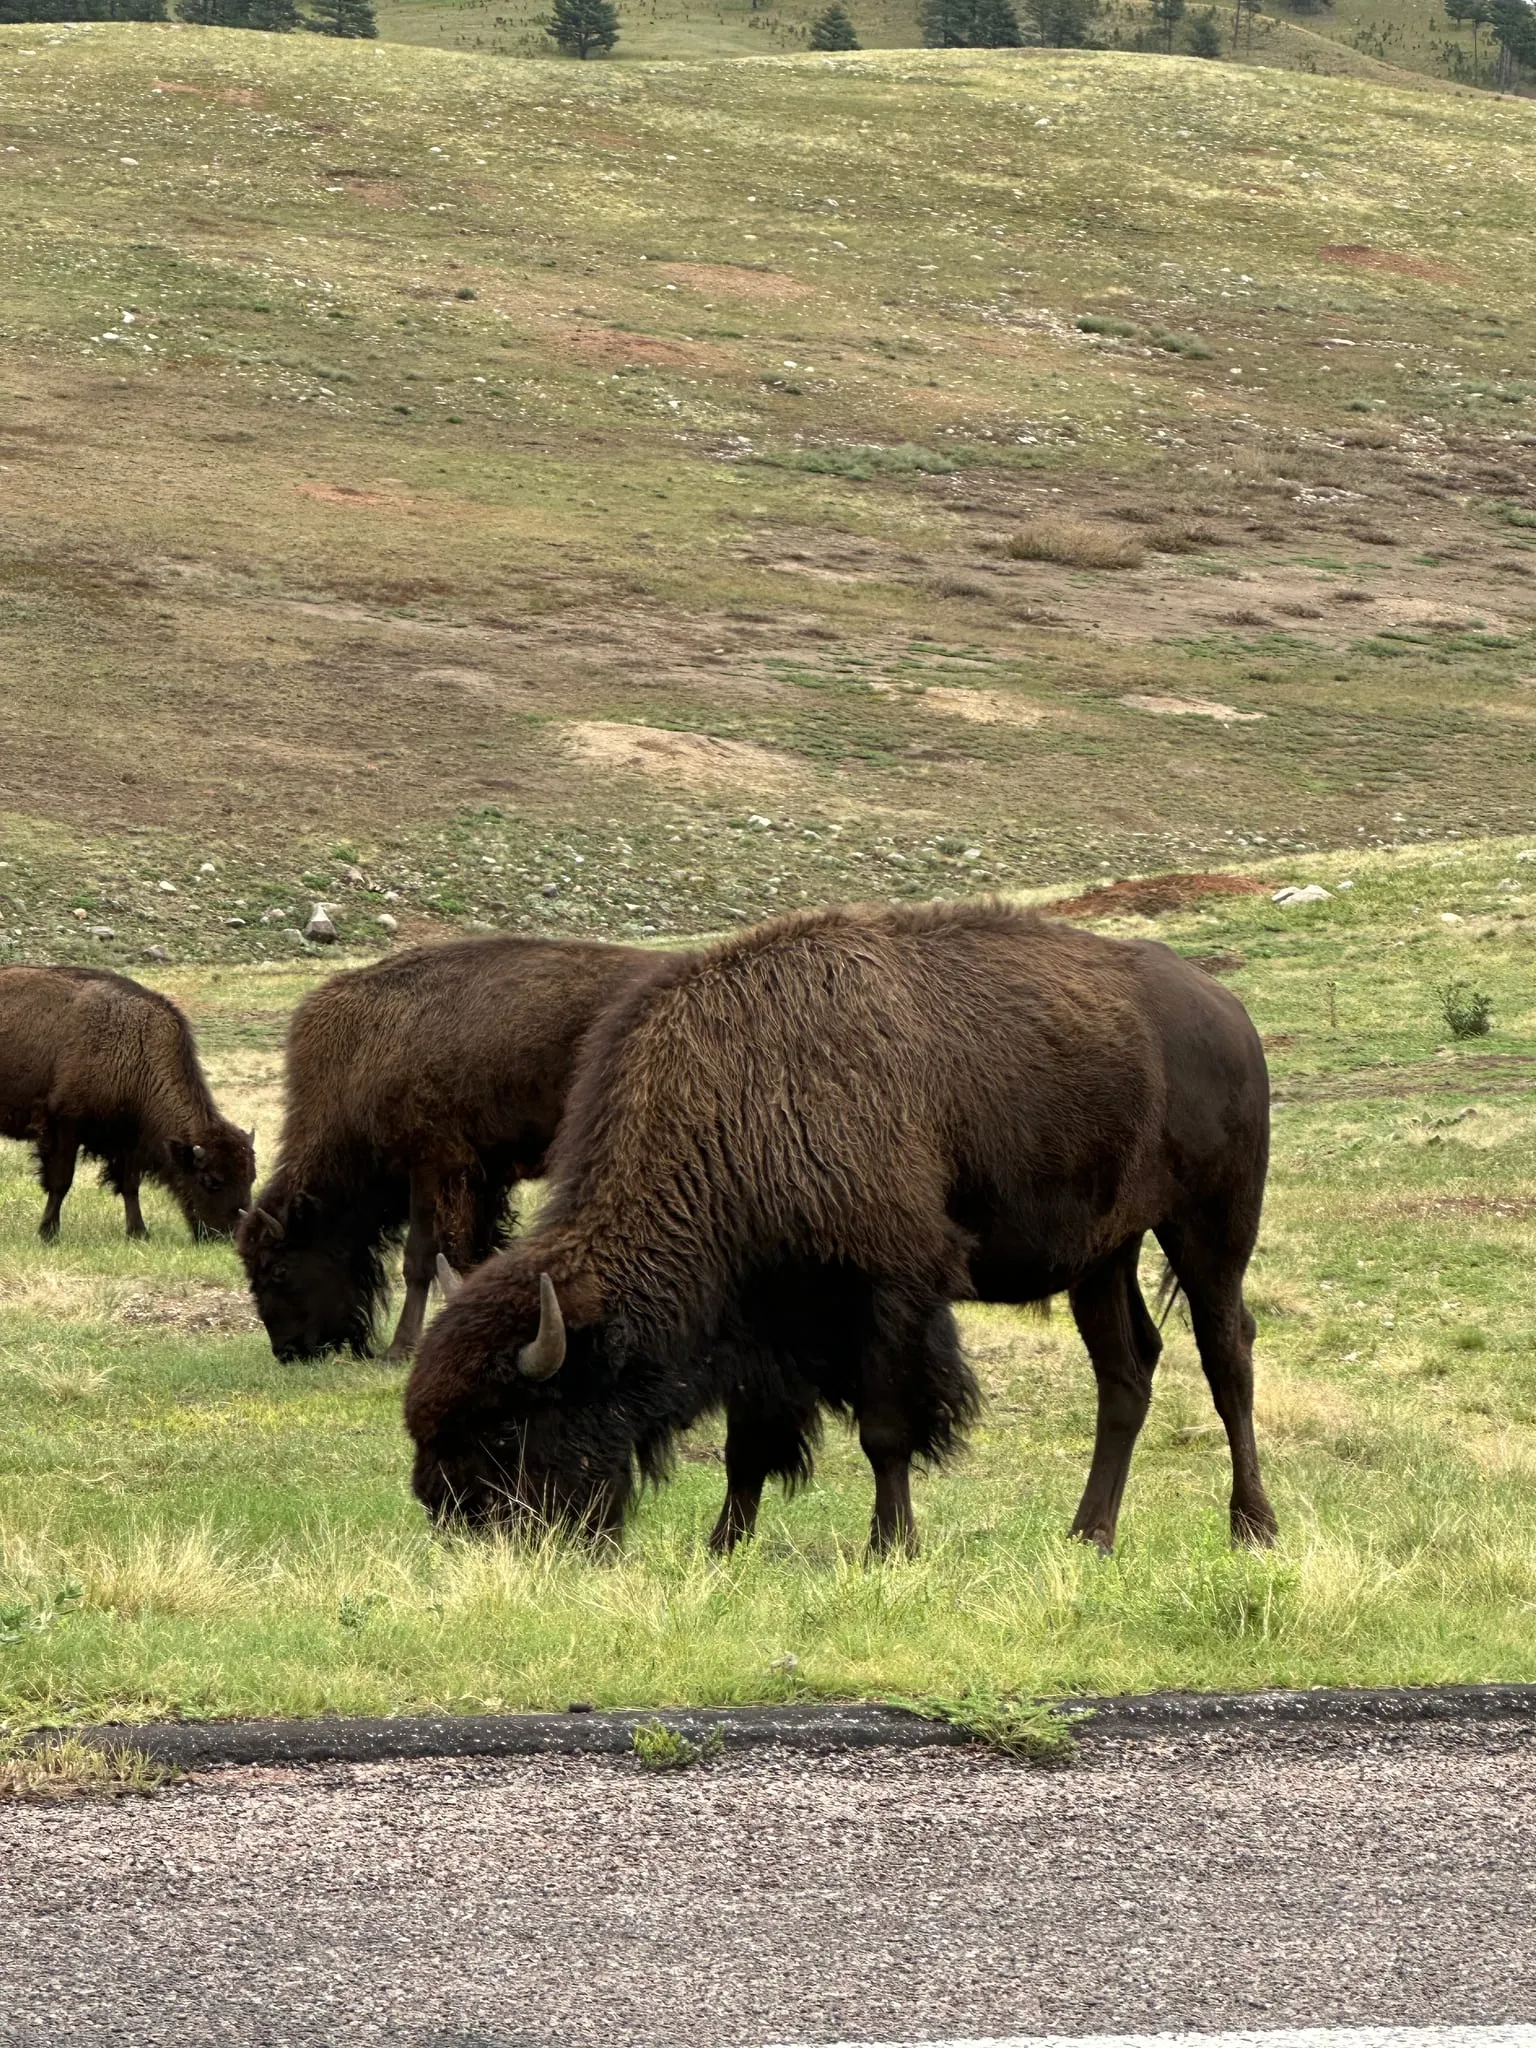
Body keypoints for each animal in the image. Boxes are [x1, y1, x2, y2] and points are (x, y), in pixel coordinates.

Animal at [0, 965, 255, 1241]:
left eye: (252, 1178)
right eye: (211, 1181)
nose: (229, 1236)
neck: (137, 1047)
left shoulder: (129, 1140)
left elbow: (130, 1186)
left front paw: (139, 1232)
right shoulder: (65, 1127)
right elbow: (61, 1181)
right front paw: (48, 1233)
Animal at [238, 935, 672, 1363]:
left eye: (277, 1269)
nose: (288, 1351)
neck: (358, 1062)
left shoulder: (432, 1166)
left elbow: (420, 1259)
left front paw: (400, 1349)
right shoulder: (482, 1178)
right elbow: (476, 1254)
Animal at [406, 901, 1277, 1557]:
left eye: (508, 1426)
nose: (452, 1518)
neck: (737, 1107)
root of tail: (1230, 1013)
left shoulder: (890, 1293)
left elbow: (884, 1431)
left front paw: (890, 1547)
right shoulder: (761, 1322)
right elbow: (748, 1443)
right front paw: (723, 1545)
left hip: (1211, 1227)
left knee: (1226, 1354)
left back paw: (1252, 1528)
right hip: (1104, 1255)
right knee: (1126, 1374)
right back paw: (1088, 1535)